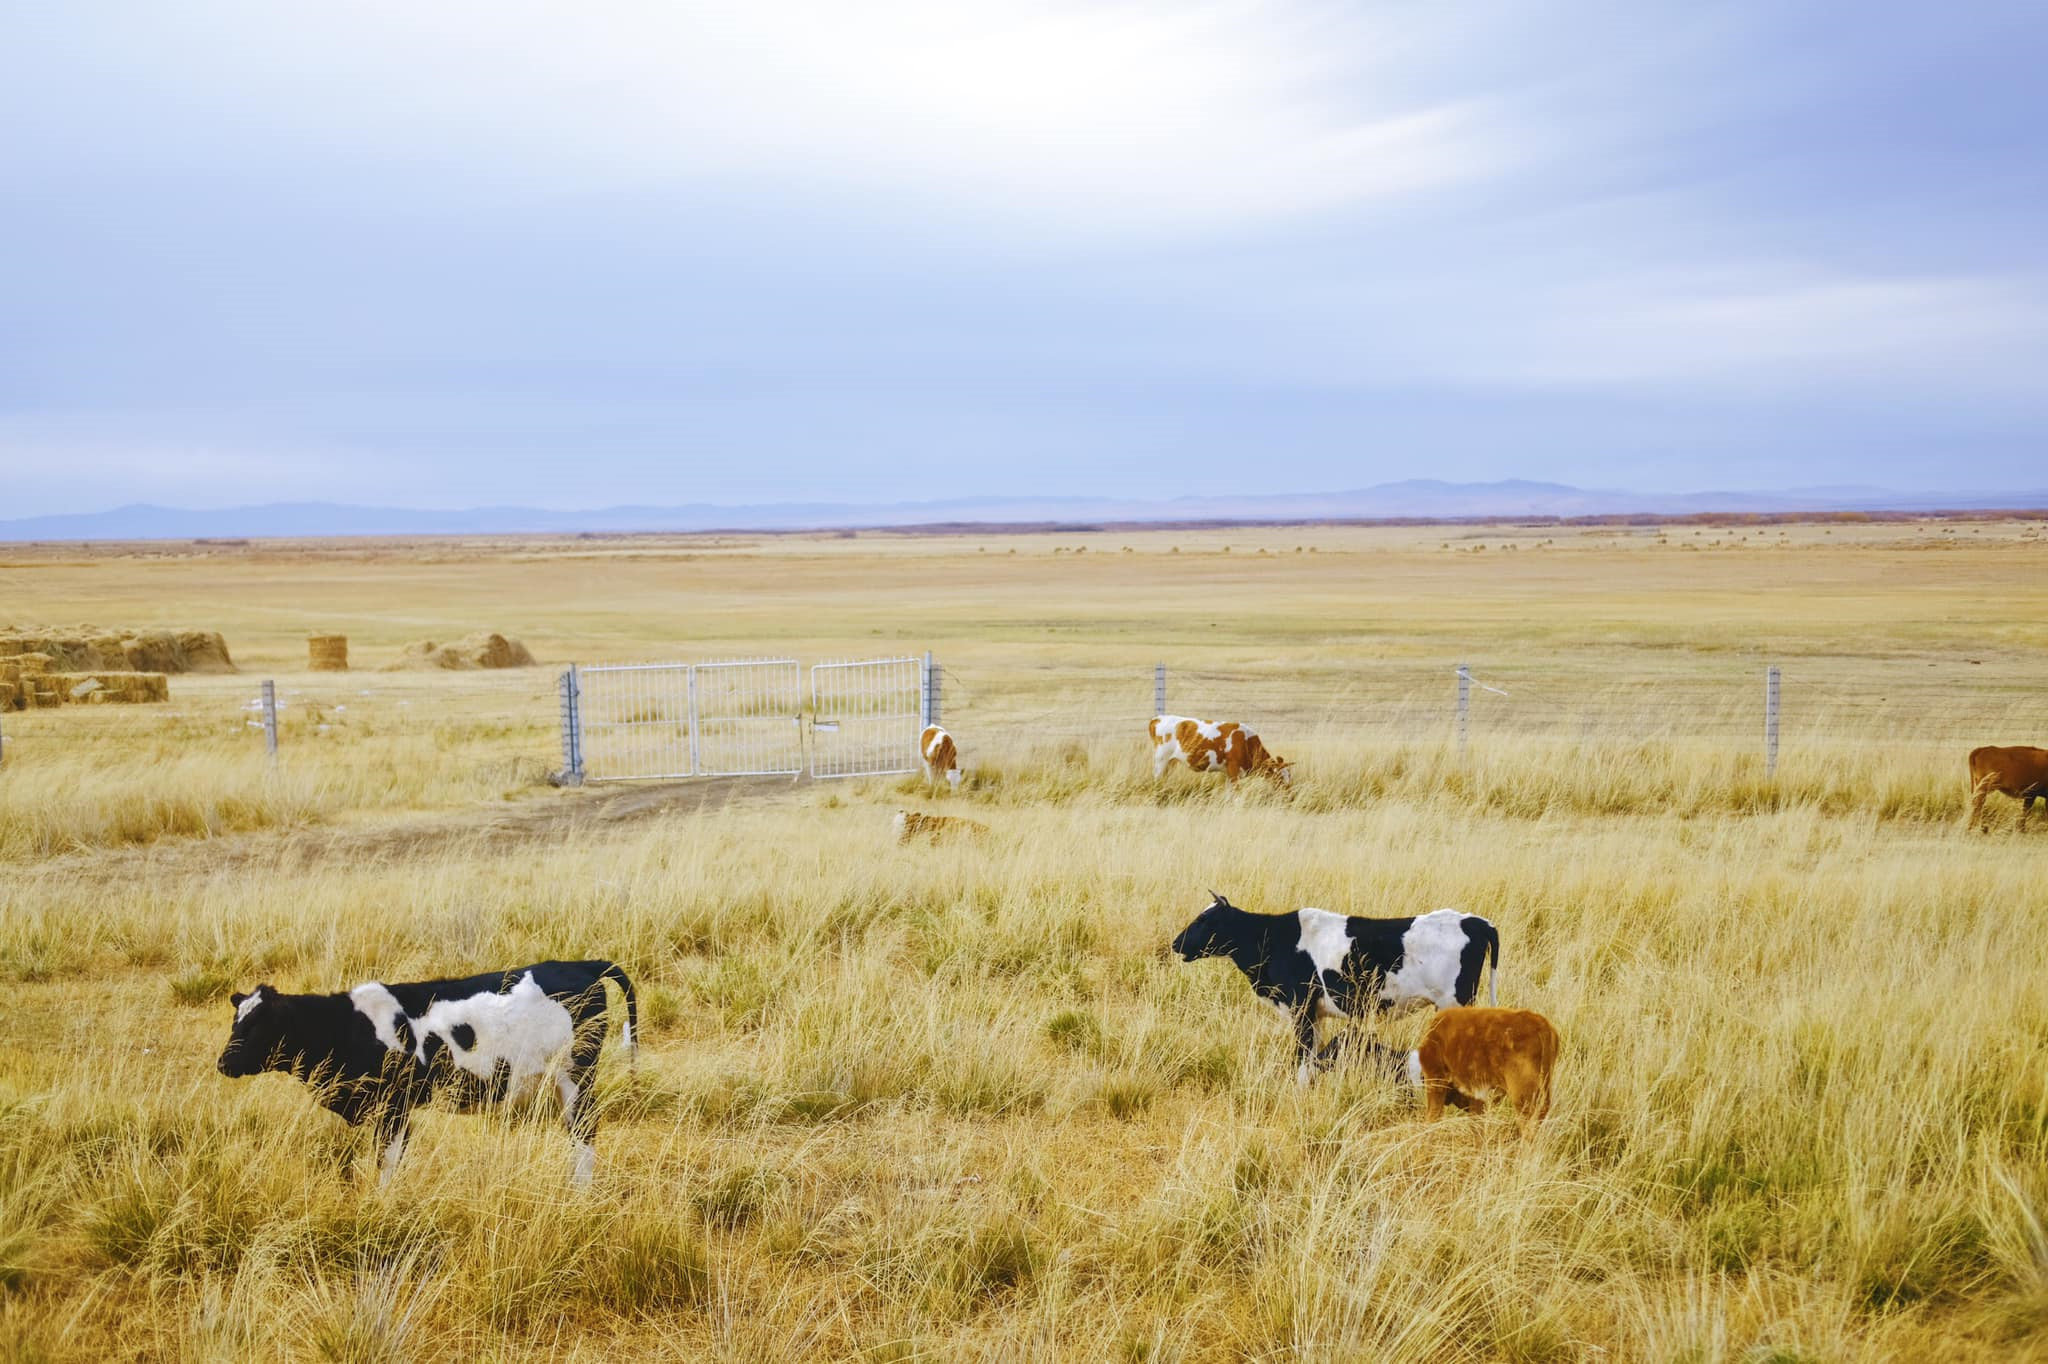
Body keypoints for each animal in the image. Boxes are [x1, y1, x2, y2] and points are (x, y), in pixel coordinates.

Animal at [215, 950, 630, 1187]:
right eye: (235, 1021)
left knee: (584, 1131)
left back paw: (579, 1191)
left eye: (259, 1025)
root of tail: (582, 965)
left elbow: (387, 1162)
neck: (346, 1026)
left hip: (575, 1076)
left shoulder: (394, 1107)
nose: (223, 1062)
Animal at [1146, 712, 1286, 786]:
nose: (1289, 798)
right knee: (1157, 778)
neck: (1246, 742)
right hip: (1161, 760)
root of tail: (1158, 718)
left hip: (1170, 762)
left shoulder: (1230, 773)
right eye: (1281, 779)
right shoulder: (1234, 770)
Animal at [1171, 892, 1507, 1081]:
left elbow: (1301, 1060)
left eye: (1205, 920)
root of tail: (1475, 920)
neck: (1272, 939)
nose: (1175, 943)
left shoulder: (1301, 1007)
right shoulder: (1316, 1013)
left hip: (1455, 1002)